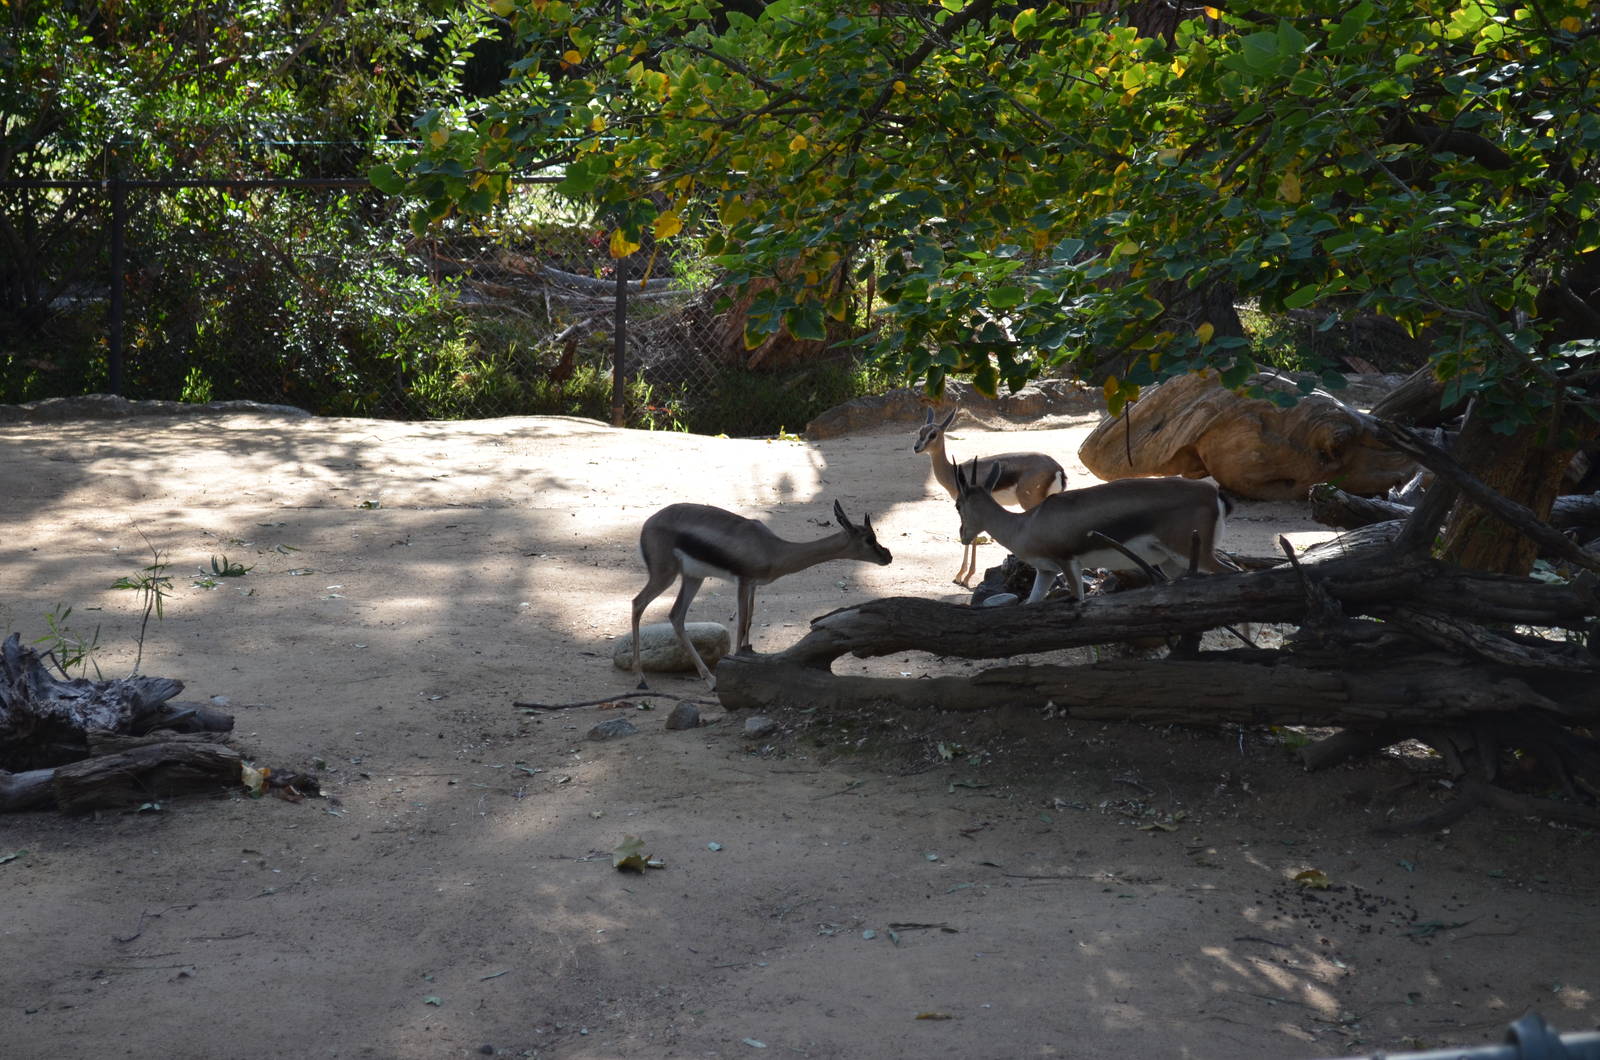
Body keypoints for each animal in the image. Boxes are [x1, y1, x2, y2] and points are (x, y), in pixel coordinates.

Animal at [630, 500, 893, 690]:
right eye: (869, 539)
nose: (887, 556)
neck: (773, 549)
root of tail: (646, 525)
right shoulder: (743, 581)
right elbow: (740, 623)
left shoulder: (755, 585)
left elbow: (749, 620)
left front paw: (747, 657)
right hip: (665, 576)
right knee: (638, 603)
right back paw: (641, 679)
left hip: (693, 578)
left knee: (676, 615)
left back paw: (710, 680)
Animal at [913, 408, 1067, 586]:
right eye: (920, 430)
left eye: (933, 434)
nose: (916, 447)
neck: (953, 472)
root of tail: (1058, 469)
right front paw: (963, 575)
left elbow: (972, 536)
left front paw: (963, 577)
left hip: (1030, 503)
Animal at [952, 459, 1231, 604]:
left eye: (957, 505)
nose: (963, 534)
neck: (1026, 524)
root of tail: (1212, 493)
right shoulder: (1046, 571)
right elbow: (1032, 602)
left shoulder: (1067, 563)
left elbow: (1079, 599)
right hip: (1173, 564)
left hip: (1194, 555)